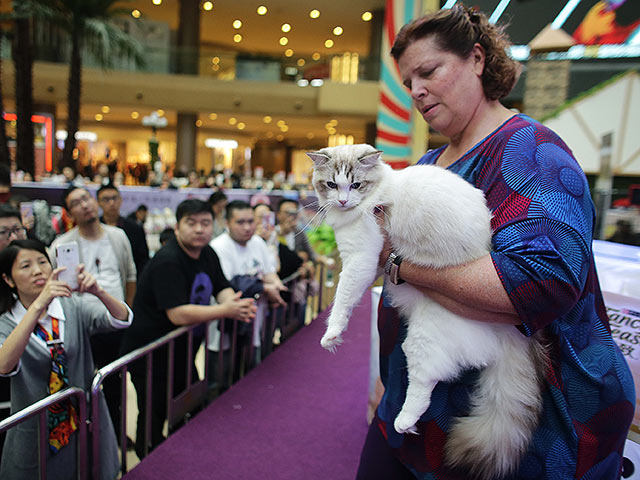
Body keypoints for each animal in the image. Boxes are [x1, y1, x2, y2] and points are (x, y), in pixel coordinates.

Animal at [308, 143, 548, 480]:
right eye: (331, 184)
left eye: (356, 185)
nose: (343, 200)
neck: (381, 188)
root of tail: (509, 329)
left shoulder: (360, 257)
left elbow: (342, 300)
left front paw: (331, 335)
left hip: (423, 341)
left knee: (424, 385)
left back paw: (404, 422)